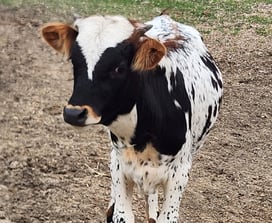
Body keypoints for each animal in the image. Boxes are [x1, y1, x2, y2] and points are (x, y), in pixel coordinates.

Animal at [41, 13, 223, 223]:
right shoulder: (119, 167)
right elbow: (121, 213)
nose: (73, 113)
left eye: (119, 68)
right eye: (74, 61)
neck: (144, 133)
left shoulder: (180, 174)